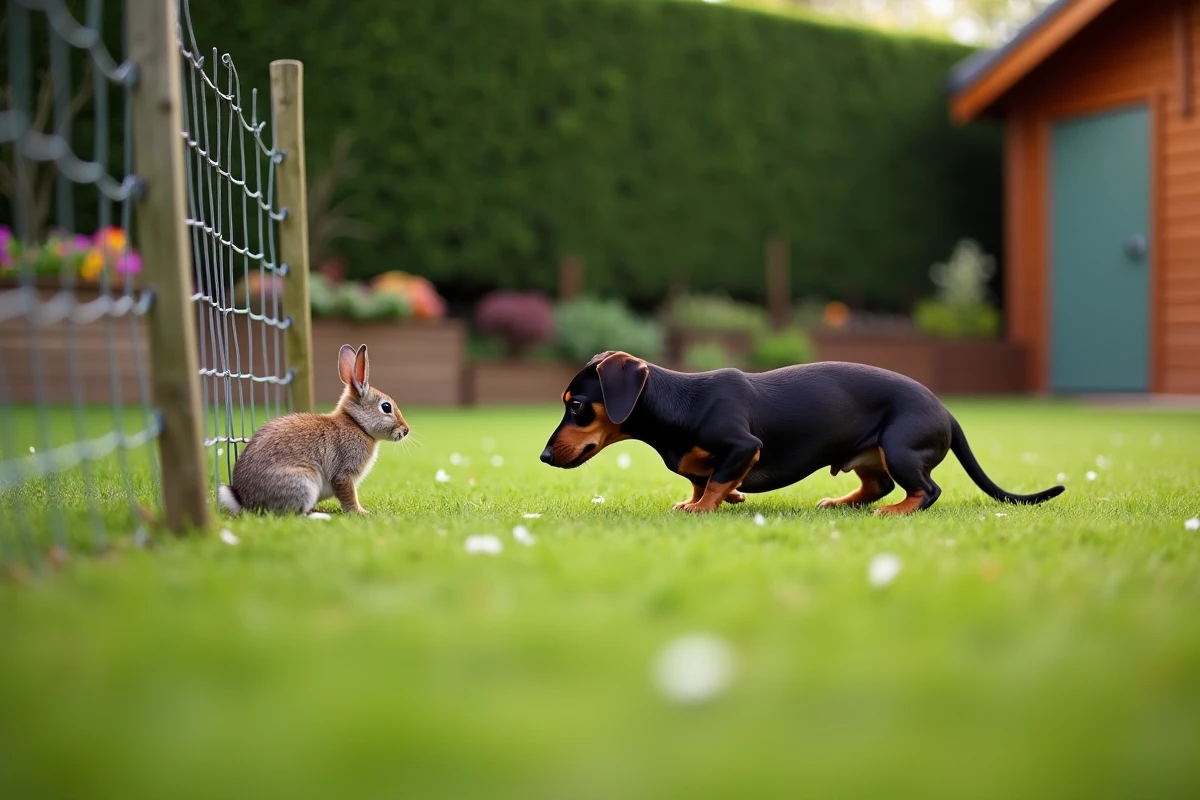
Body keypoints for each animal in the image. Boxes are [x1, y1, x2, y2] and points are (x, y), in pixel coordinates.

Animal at [217, 343, 409, 516]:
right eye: (386, 407)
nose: (406, 430)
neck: (357, 424)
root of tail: (244, 501)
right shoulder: (343, 474)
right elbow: (348, 496)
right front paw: (361, 512)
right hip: (304, 482)